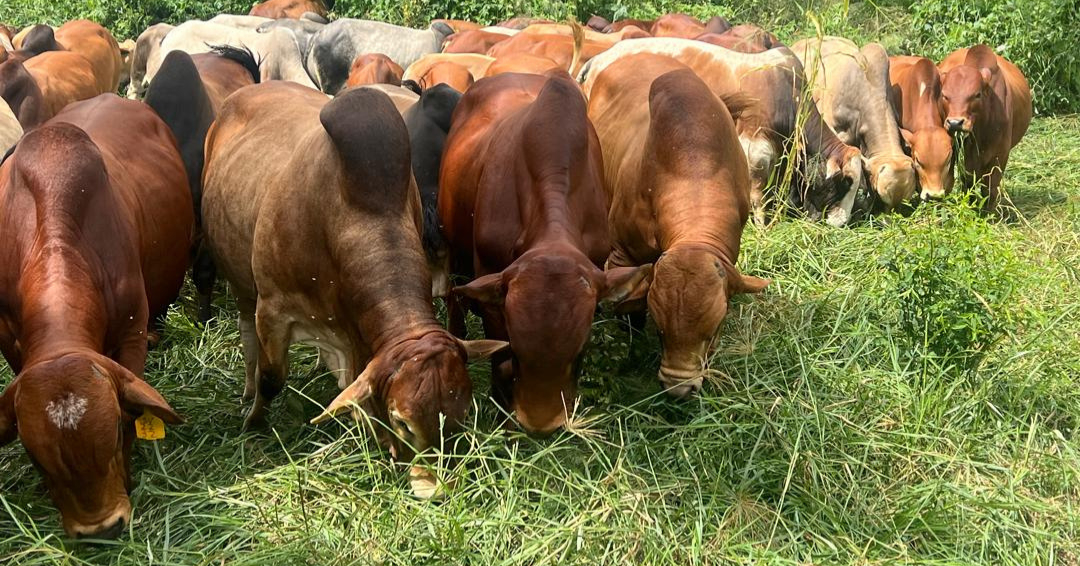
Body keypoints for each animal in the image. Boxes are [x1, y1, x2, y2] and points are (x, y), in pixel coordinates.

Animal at [440, 71, 651, 436]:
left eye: (580, 350)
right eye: (517, 347)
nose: (541, 424)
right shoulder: (490, 284)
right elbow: (500, 362)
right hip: (451, 240)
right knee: (454, 293)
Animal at [581, 38, 870, 227]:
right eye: (845, 182)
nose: (839, 223)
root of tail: (597, 60)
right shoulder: (754, 147)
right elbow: (757, 195)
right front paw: (762, 228)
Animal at [938, 45, 1032, 212]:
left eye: (977, 94)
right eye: (945, 95)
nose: (955, 123)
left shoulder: (1000, 154)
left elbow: (990, 186)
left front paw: (989, 212)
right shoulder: (964, 154)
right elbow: (967, 180)